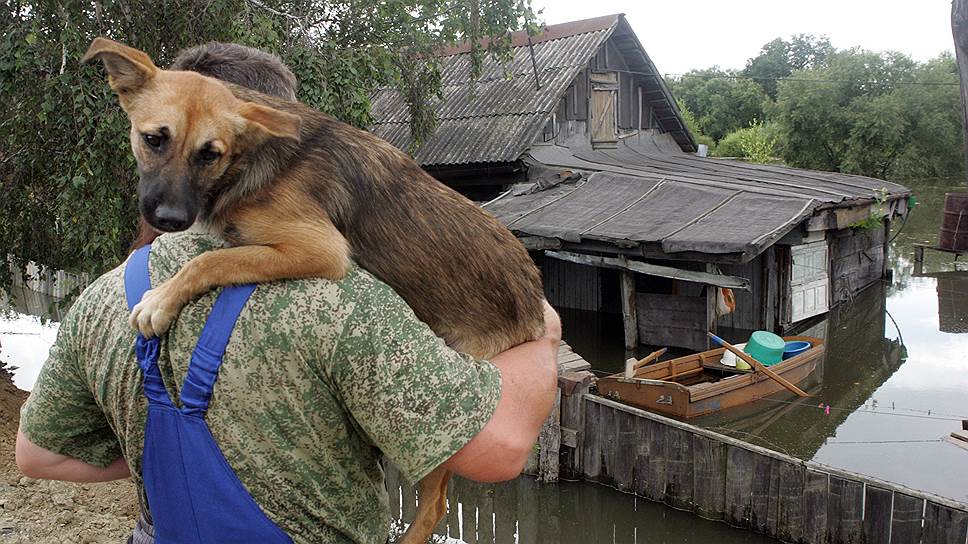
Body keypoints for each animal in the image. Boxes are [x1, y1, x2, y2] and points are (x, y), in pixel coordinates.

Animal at [82, 38, 544, 544]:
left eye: (210, 154)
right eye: (154, 139)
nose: (168, 219)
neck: (250, 160)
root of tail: (534, 298)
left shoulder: (319, 248)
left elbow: (210, 259)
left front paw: (160, 300)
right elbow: (213, 255)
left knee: (436, 502)